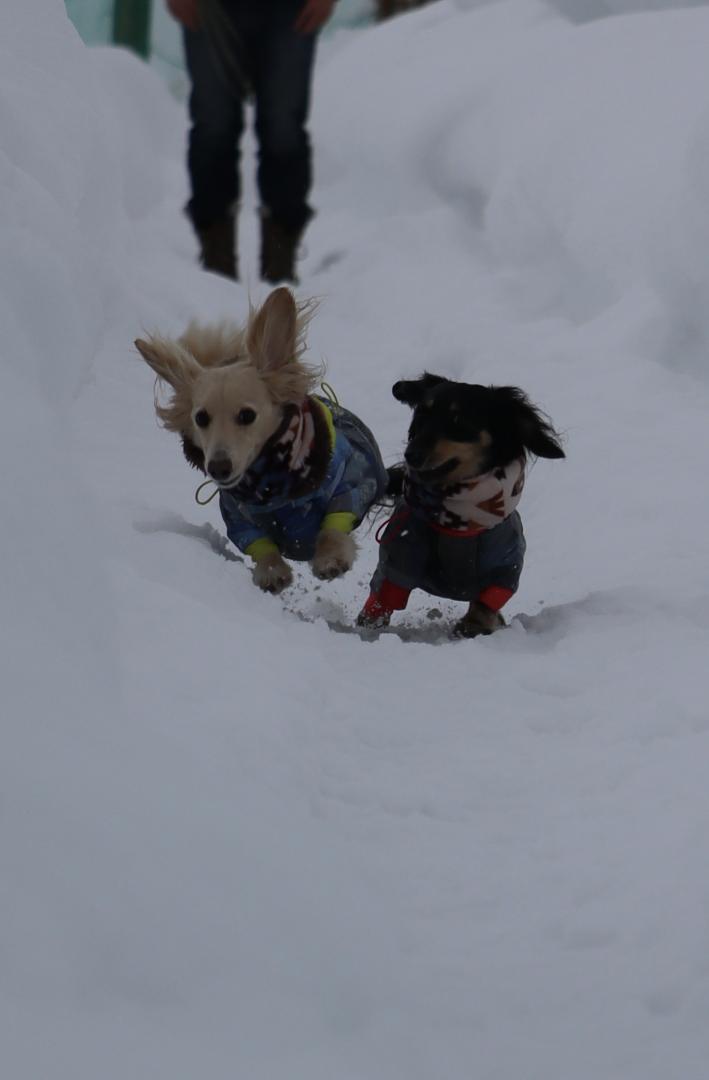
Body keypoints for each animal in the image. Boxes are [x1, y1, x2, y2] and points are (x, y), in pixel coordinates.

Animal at [135, 282, 391, 596]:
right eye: (201, 418)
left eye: (247, 415)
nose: (218, 467)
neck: (272, 485)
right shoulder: (239, 519)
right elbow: (261, 547)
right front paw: (272, 572)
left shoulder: (351, 484)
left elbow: (334, 525)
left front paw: (330, 558)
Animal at [360, 375, 566, 635]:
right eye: (422, 414)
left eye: (458, 420)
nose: (411, 455)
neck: (459, 524)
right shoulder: (400, 552)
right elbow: (386, 590)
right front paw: (368, 626)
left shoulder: (506, 564)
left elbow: (488, 600)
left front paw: (474, 624)